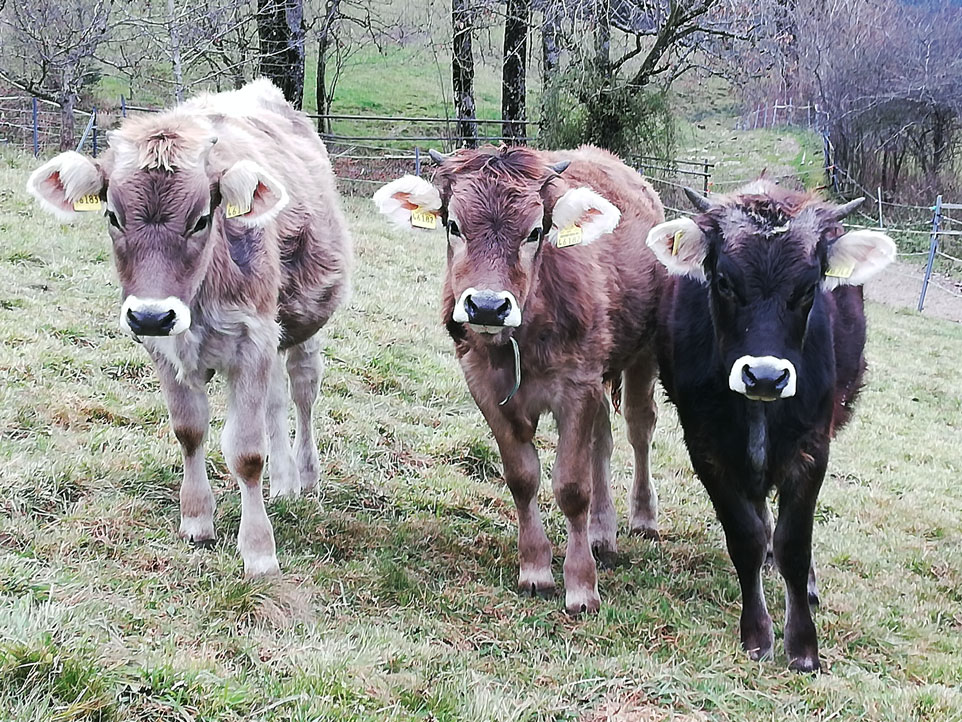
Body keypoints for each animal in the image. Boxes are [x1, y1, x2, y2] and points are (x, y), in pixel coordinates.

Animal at [27, 79, 352, 572]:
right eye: (112, 215)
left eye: (201, 219)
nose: (151, 314)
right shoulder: (167, 349)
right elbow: (189, 431)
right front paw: (197, 520)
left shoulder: (252, 341)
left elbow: (246, 452)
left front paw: (259, 552)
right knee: (276, 401)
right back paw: (285, 482)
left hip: (304, 320)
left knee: (303, 389)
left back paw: (307, 476)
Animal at [376, 146, 668, 612]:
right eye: (453, 225)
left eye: (535, 232)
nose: (487, 306)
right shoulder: (485, 387)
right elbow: (522, 478)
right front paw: (535, 568)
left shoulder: (576, 387)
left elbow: (572, 487)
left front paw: (581, 586)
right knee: (601, 441)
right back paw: (602, 533)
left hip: (642, 352)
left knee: (639, 428)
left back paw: (642, 518)